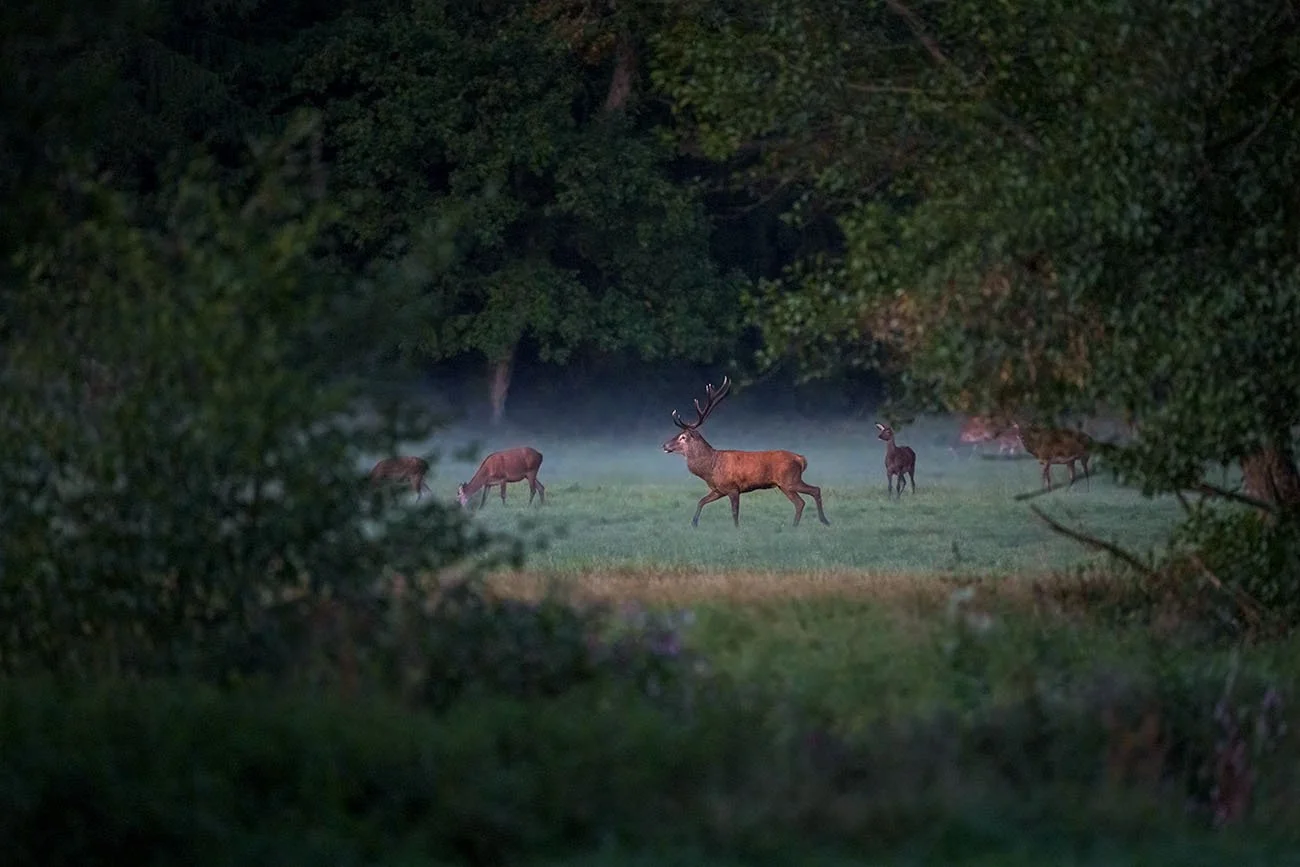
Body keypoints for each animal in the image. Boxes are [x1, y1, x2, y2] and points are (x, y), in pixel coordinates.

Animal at [662, 376, 830, 528]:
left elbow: (735, 512)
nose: (664, 445)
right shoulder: (718, 490)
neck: (710, 468)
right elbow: (701, 501)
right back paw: (813, 522)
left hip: (789, 480)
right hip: (785, 484)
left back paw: (810, 523)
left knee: (807, 496)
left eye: (682, 437)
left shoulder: (733, 488)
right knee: (806, 497)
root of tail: (801, 459)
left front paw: (736, 529)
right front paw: (694, 523)